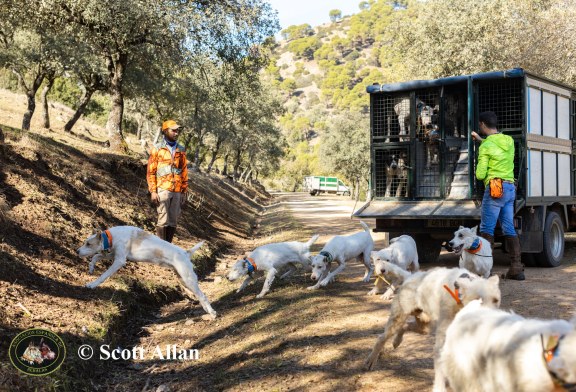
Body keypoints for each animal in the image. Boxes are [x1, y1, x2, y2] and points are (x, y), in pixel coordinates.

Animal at [76, 227, 218, 318]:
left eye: (88, 244)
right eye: (84, 242)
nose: (77, 251)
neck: (111, 237)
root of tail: (185, 253)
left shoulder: (119, 260)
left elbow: (103, 275)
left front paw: (92, 284)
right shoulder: (113, 254)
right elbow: (96, 256)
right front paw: (91, 268)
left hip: (188, 279)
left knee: (203, 295)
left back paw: (212, 313)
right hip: (183, 280)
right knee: (199, 295)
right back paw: (206, 310)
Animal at [366, 266, 502, 392]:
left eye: (496, 300)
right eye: (478, 300)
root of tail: (411, 276)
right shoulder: (441, 343)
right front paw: (439, 388)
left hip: (424, 326)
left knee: (405, 326)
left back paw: (396, 341)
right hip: (398, 320)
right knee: (381, 337)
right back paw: (371, 360)